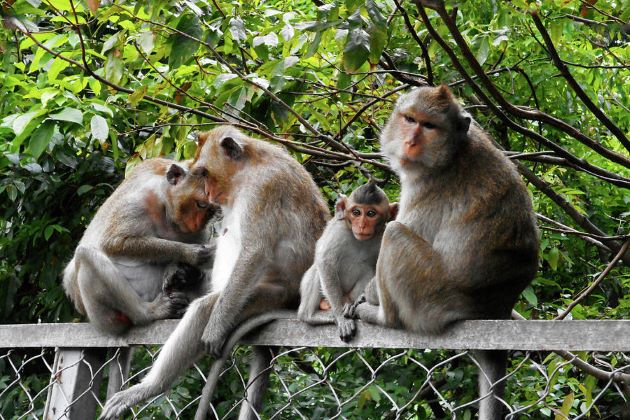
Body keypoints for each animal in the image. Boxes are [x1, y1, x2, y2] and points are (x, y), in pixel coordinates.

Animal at [63, 158, 218, 334]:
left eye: (210, 209)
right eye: (201, 204)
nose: (196, 224)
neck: (164, 205)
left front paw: (178, 269)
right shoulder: (137, 201)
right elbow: (115, 242)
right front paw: (190, 254)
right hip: (107, 318)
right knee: (85, 255)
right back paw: (148, 312)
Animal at [101, 125, 328, 420]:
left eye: (205, 173)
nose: (209, 194)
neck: (249, 168)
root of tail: (294, 300)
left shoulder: (264, 188)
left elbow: (254, 251)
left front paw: (215, 328)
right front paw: (180, 267)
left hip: (268, 294)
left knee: (205, 308)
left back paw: (151, 386)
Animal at [298, 181, 398, 342]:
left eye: (371, 213)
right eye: (356, 212)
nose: (362, 225)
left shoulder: (383, 235)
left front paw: (361, 299)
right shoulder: (338, 230)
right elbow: (325, 262)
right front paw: (341, 318)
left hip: (347, 295)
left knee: (368, 269)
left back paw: (351, 305)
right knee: (318, 270)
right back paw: (311, 316)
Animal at [344, 85, 540, 420]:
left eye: (429, 126)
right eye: (410, 119)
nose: (410, 141)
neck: (452, 152)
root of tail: (494, 309)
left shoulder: (428, 186)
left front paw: (365, 296)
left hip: (427, 293)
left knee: (395, 234)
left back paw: (383, 317)